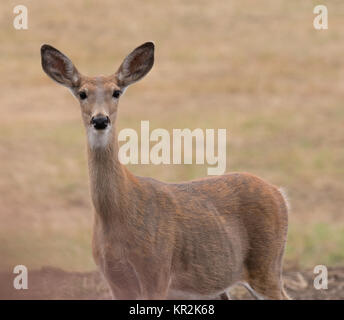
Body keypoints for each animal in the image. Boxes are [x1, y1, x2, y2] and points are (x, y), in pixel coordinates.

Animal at [39, 42, 288, 300]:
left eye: (116, 92)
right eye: (82, 93)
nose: (100, 120)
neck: (117, 213)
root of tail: (279, 193)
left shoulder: (157, 271)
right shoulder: (114, 279)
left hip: (267, 263)